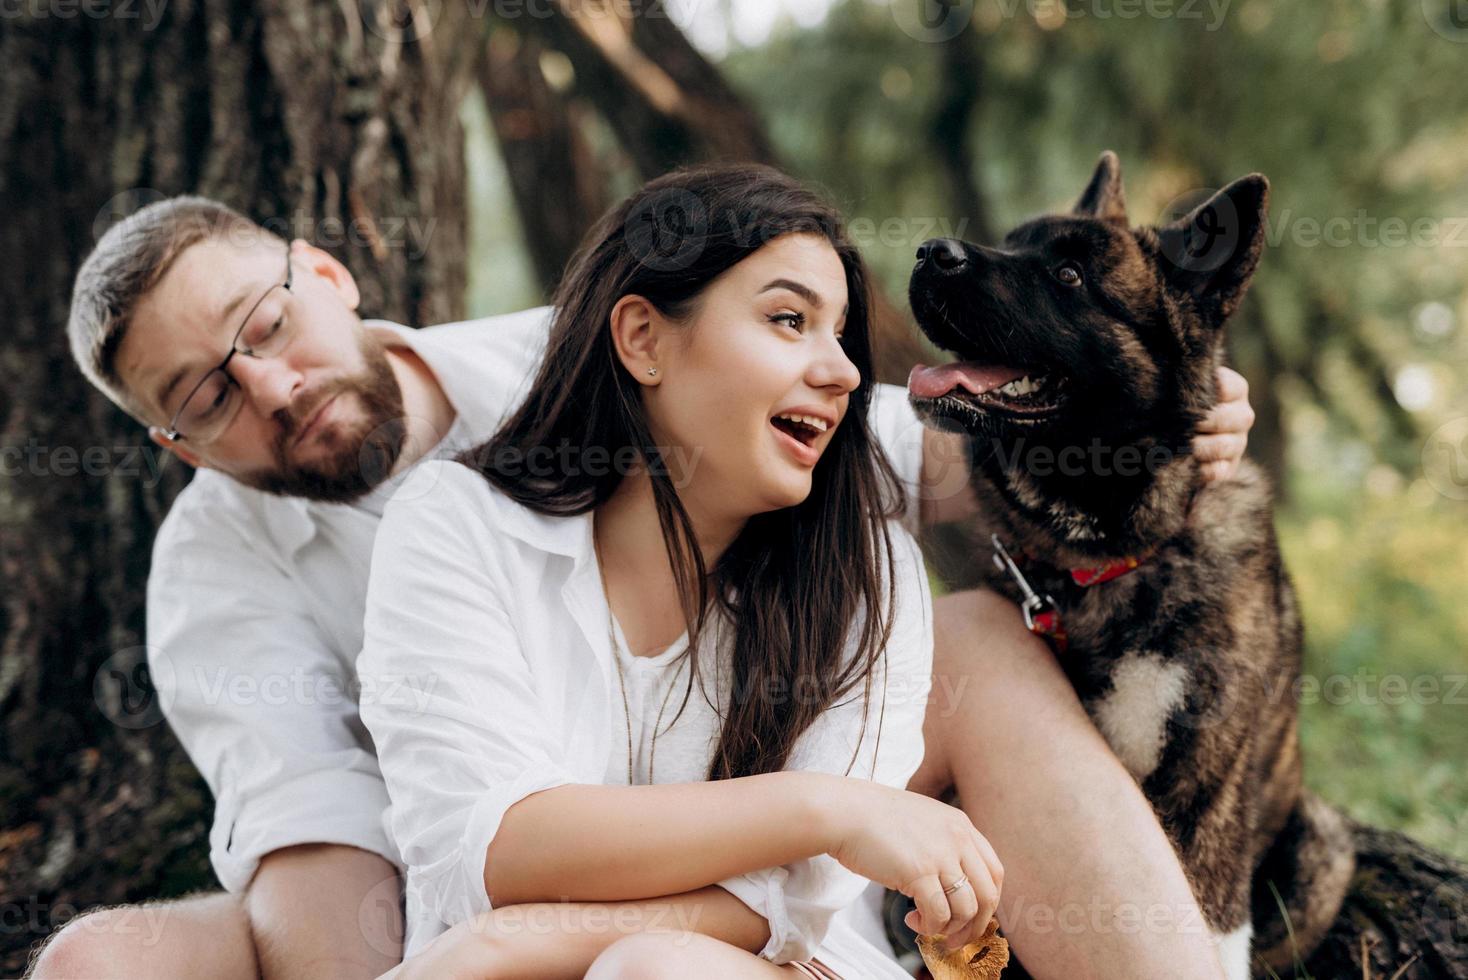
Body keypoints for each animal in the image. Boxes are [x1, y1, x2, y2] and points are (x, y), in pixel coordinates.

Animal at [904, 153, 1350, 979]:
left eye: (1070, 274)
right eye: (1011, 241)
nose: (927, 251)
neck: (1099, 562)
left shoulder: (1206, 792)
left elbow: (1210, 925)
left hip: (1321, 848)